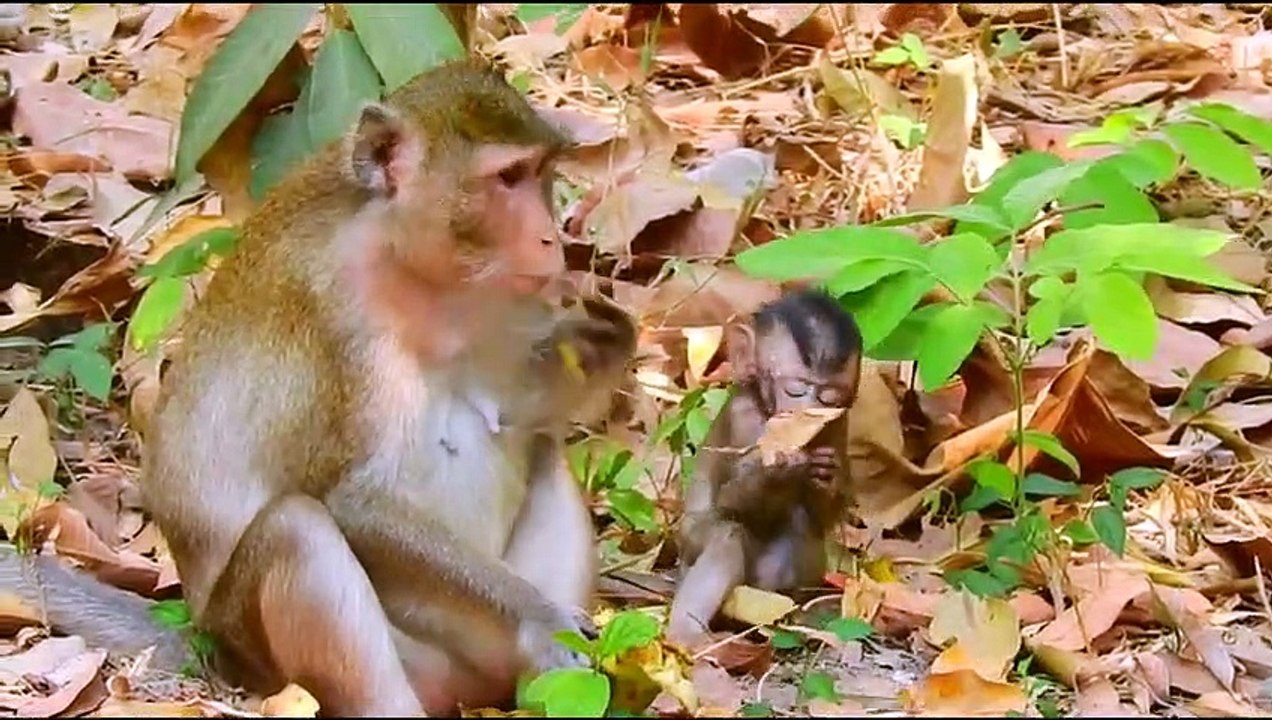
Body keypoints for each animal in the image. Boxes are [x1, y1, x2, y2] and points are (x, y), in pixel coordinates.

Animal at [0, 59, 638, 717]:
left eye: (540, 173)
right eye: (507, 177)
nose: (550, 240)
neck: (406, 265)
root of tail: (209, 646)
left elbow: (517, 411)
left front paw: (604, 338)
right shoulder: (331, 321)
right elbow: (353, 501)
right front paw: (539, 615)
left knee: (543, 457)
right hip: (292, 655)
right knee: (297, 532)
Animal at [666, 290, 862, 647]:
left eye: (828, 397)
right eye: (795, 389)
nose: (805, 410)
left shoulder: (837, 422)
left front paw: (827, 474)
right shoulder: (742, 419)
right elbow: (729, 499)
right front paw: (773, 471)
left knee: (800, 526)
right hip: (688, 543)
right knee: (725, 535)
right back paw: (687, 632)